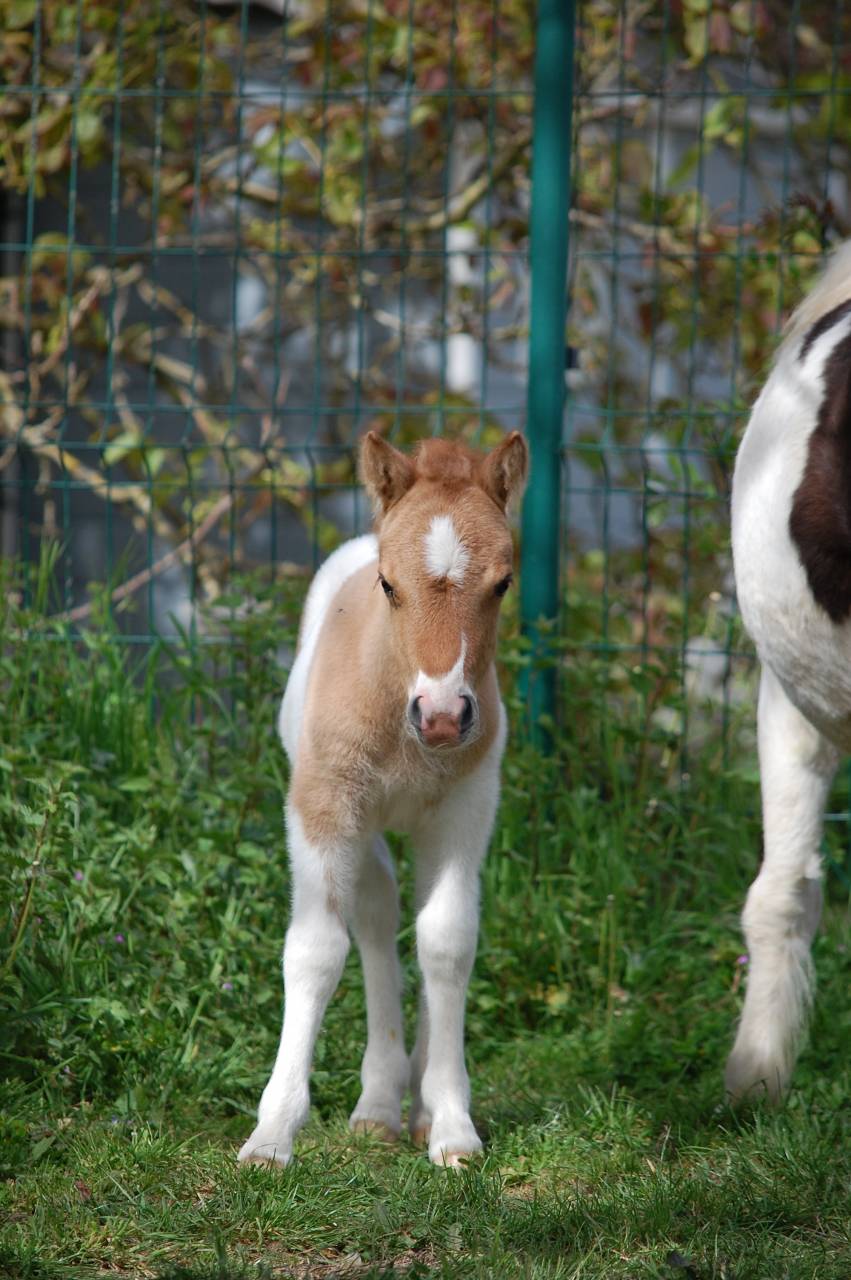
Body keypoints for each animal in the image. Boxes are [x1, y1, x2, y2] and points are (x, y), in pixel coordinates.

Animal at [238, 429, 528, 1166]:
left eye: (503, 583)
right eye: (389, 585)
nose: (444, 717)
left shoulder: (463, 811)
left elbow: (446, 941)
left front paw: (452, 1124)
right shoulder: (323, 805)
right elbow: (316, 949)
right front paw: (272, 1134)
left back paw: (416, 1107)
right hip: (365, 826)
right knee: (374, 915)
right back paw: (376, 1105)